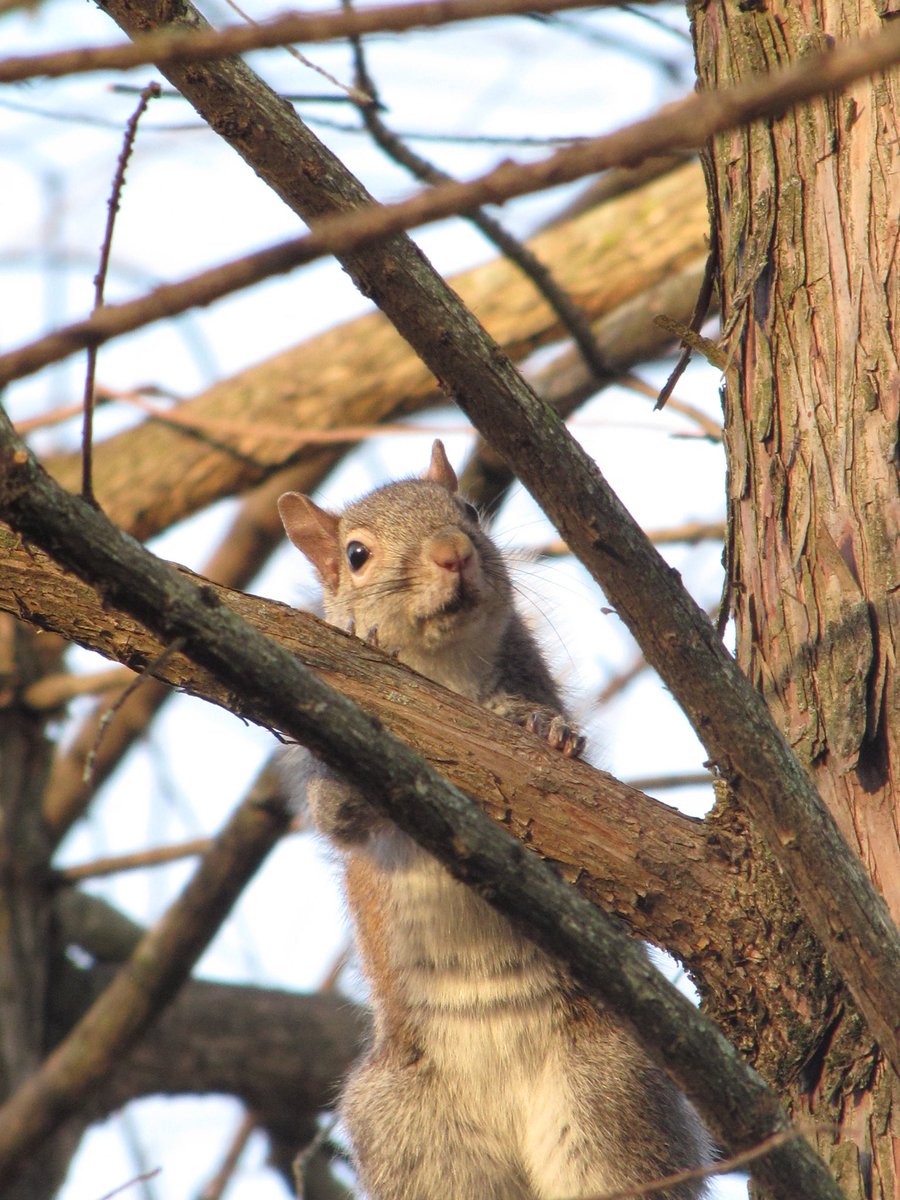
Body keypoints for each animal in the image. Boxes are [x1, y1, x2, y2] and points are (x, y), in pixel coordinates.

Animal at [278, 441, 710, 1200]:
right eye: (356, 554)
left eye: (470, 512)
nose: (453, 553)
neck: (441, 667)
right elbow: (338, 819)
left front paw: (539, 726)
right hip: (417, 1143)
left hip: (613, 1098)